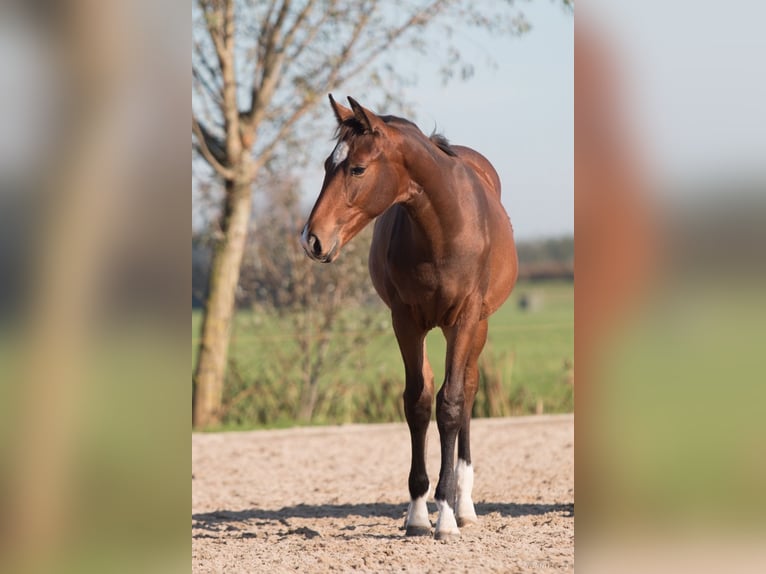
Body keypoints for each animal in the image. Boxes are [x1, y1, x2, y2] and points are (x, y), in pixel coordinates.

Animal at [304, 97, 520, 544]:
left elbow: (451, 405)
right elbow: (417, 404)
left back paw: (464, 504)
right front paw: (419, 512)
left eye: (357, 169)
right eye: (327, 164)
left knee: (467, 391)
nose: (312, 239)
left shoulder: (466, 318)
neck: (443, 229)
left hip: (477, 327)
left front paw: (446, 516)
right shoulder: (405, 321)